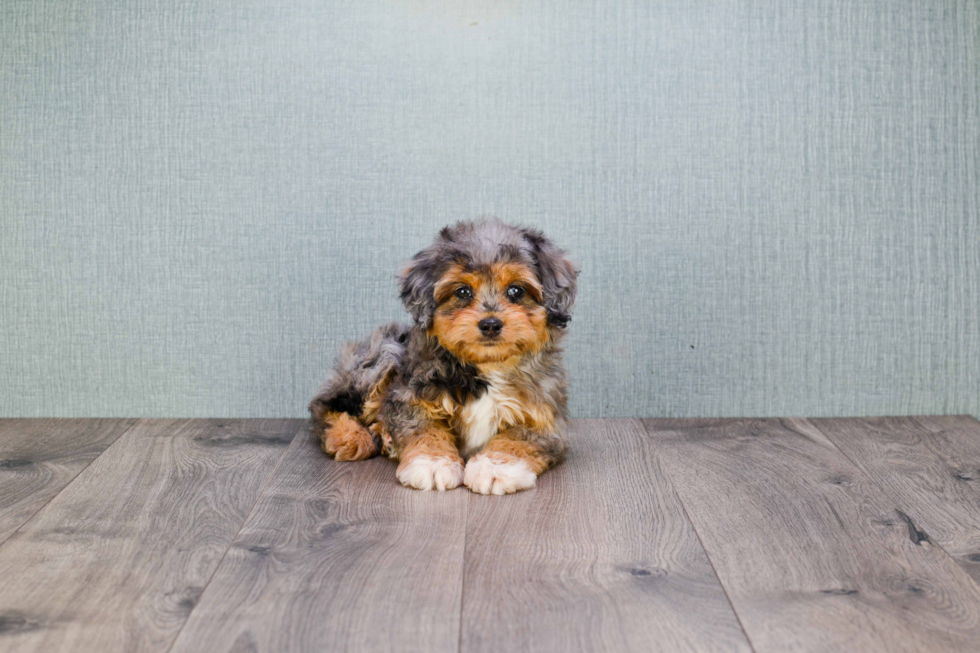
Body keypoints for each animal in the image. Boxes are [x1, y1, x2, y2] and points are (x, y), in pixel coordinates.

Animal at [310, 219, 580, 494]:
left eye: (516, 290)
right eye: (462, 292)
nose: (490, 324)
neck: (489, 366)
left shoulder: (546, 420)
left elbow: (519, 438)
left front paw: (495, 467)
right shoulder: (410, 396)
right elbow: (424, 427)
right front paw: (432, 462)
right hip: (382, 354)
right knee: (324, 405)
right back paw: (350, 436)